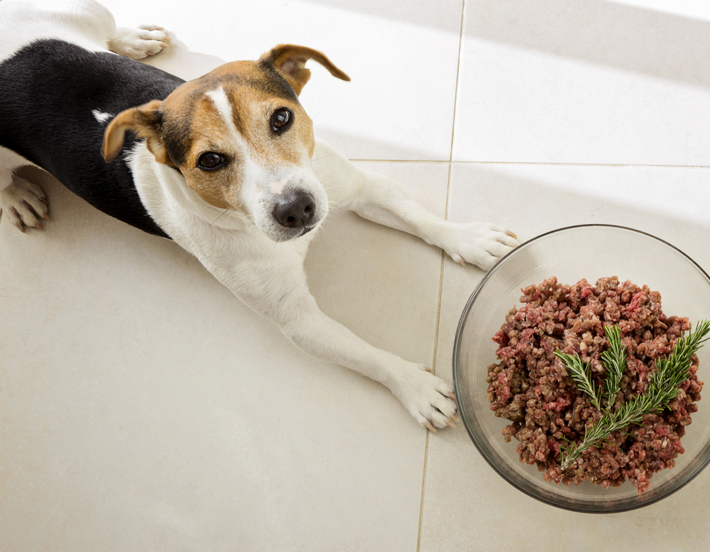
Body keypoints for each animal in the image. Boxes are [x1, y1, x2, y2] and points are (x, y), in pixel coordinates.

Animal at [0, 1, 520, 432]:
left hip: (86, 10)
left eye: (281, 119)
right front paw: (414, 386)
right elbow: (364, 353)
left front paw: (471, 240)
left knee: (106, 27)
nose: (296, 209)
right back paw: (17, 196)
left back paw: (133, 38)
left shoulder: (351, 187)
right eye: (210, 161)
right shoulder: (298, 320)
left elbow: (419, 217)